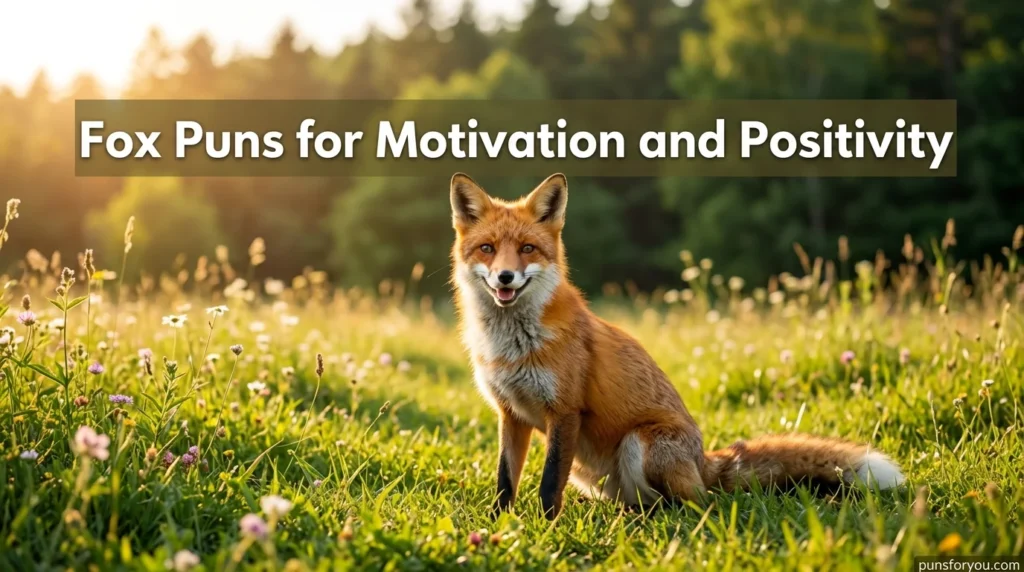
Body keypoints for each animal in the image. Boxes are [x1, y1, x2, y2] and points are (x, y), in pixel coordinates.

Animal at [449, 172, 906, 519]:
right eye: (488, 249)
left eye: (527, 249)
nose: (505, 277)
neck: (511, 344)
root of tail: (703, 462)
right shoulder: (511, 414)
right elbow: (505, 479)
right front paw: (499, 524)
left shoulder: (564, 412)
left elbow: (547, 484)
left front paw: (545, 527)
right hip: (591, 471)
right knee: (650, 501)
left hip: (640, 444)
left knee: (696, 503)